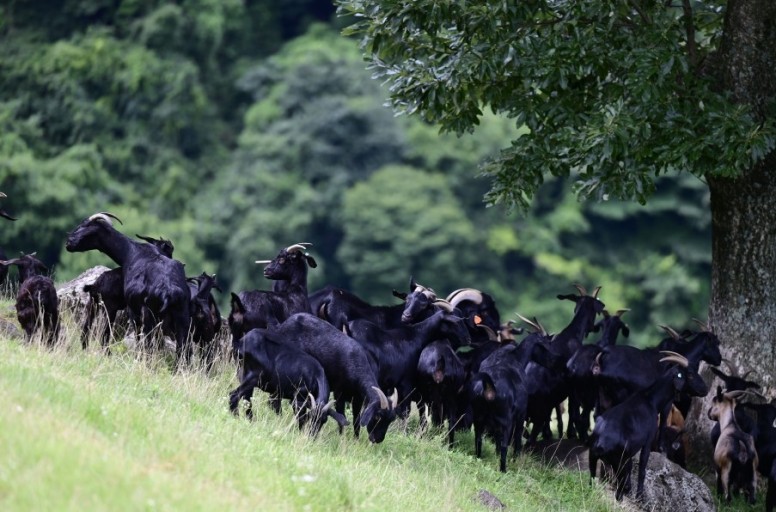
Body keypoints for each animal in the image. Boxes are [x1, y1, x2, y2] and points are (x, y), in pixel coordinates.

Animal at [66, 213, 191, 365]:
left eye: (86, 226)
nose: (69, 242)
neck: (130, 252)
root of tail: (169, 291)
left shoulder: (133, 310)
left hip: (149, 315)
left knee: (148, 342)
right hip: (182, 318)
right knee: (182, 348)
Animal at [588, 351, 708, 501]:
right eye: (690, 374)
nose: (705, 389)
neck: (650, 400)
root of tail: (600, 442)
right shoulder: (648, 441)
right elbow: (642, 469)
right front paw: (640, 495)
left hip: (593, 460)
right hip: (619, 463)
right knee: (619, 491)